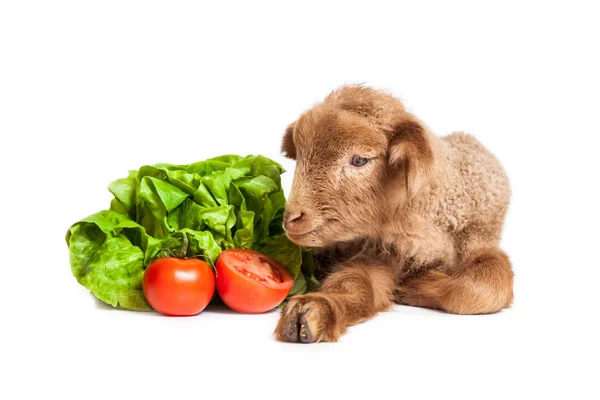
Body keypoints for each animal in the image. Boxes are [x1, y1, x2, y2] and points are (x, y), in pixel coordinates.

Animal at [274, 85, 512, 344]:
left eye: (359, 159)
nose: (291, 218)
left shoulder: (479, 241)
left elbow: (485, 289)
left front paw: (418, 285)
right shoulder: (379, 254)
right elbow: (354, 282)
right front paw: (314, 311)